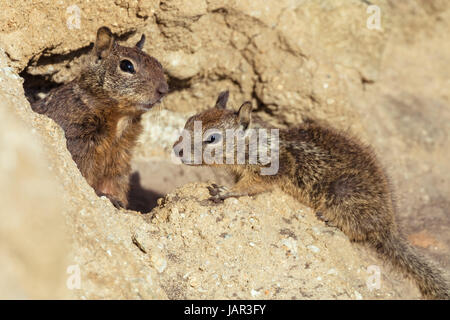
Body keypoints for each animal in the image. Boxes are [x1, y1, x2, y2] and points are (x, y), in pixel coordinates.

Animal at [32, 26, 168, 208]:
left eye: (159, 63)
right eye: (127, 65)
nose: (164, 89)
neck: (120, 118)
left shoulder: (120, 153)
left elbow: (115, 180)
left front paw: (118, 200)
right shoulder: (78, 141)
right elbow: (83, 174)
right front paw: (104, 196)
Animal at [174, 90, 448, 300]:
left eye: (211, 138)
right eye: (188, 121)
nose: (176, 150)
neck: (253, 143)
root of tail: (390, 226)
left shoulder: (274, 167)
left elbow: (252, 185)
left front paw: (226, 192)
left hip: (343, 192)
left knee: (360, 229)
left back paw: (331, 218)